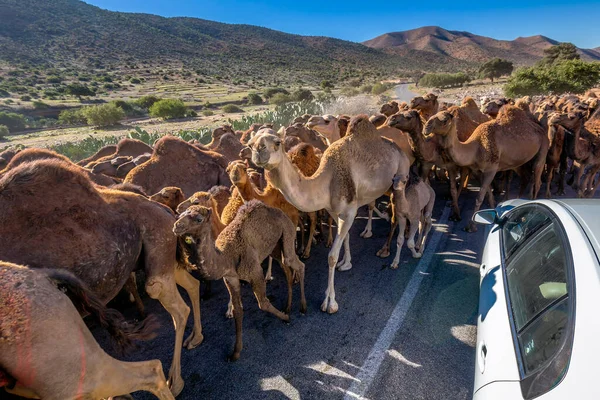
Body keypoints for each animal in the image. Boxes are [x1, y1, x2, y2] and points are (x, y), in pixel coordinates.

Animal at [172, 202, 304, 360]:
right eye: (180, 215)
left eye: (198, 219)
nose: (176, 226)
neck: (226, 257)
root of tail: (281, 212)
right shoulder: (231, 279)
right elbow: (238, 311)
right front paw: (235, 353)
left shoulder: (255, 272)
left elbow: (263, 303)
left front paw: (285, 318)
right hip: (276, 247)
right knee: (287, 269)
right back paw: (288, 306)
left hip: (287, 231)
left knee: (298, 264)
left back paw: (302, 308)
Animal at [246, 115, 410, 312]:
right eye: (250, 144)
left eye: (278, 142)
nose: (259, 151)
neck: (325, 182)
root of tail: (400, 148)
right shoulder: (334, 211)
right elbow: (346, 238)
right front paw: (346, 263)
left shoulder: (349, 211)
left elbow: (331, 256)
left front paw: (330, 302)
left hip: (401, 175)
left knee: (401, 213)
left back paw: (397, 255)